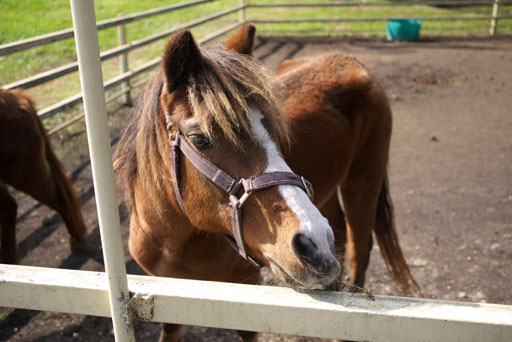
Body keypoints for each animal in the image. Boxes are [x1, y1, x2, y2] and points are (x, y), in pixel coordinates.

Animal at [114, 25, 418, 340]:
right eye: (200, 139)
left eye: (274, 129)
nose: (313, 243)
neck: (175, 241)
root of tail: (351, 62)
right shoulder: (167, 296)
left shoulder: (247, 288)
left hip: (362, 182)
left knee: (360, 249)